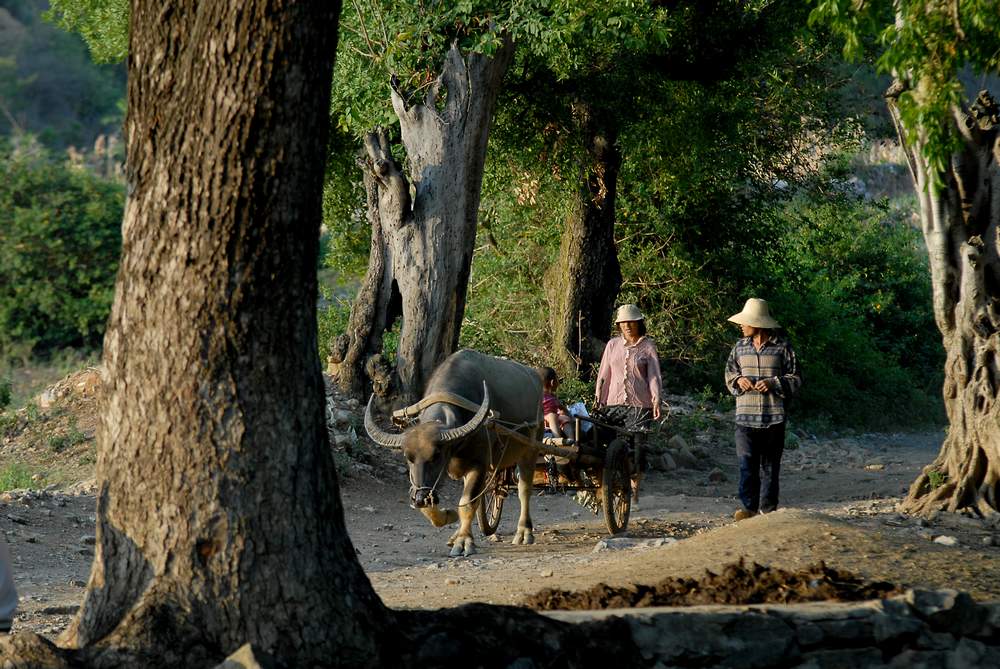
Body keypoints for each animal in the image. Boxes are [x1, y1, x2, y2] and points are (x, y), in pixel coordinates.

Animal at [366, 348, 544, 556]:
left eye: (436, 456)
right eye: (408, 458)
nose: (418, 499)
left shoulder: (479, 465)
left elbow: (467, 502)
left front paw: (464, 541)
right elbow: (439, 505)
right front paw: (449, 517)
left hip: (531, 449)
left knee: (524, 489)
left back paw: (524, 532)